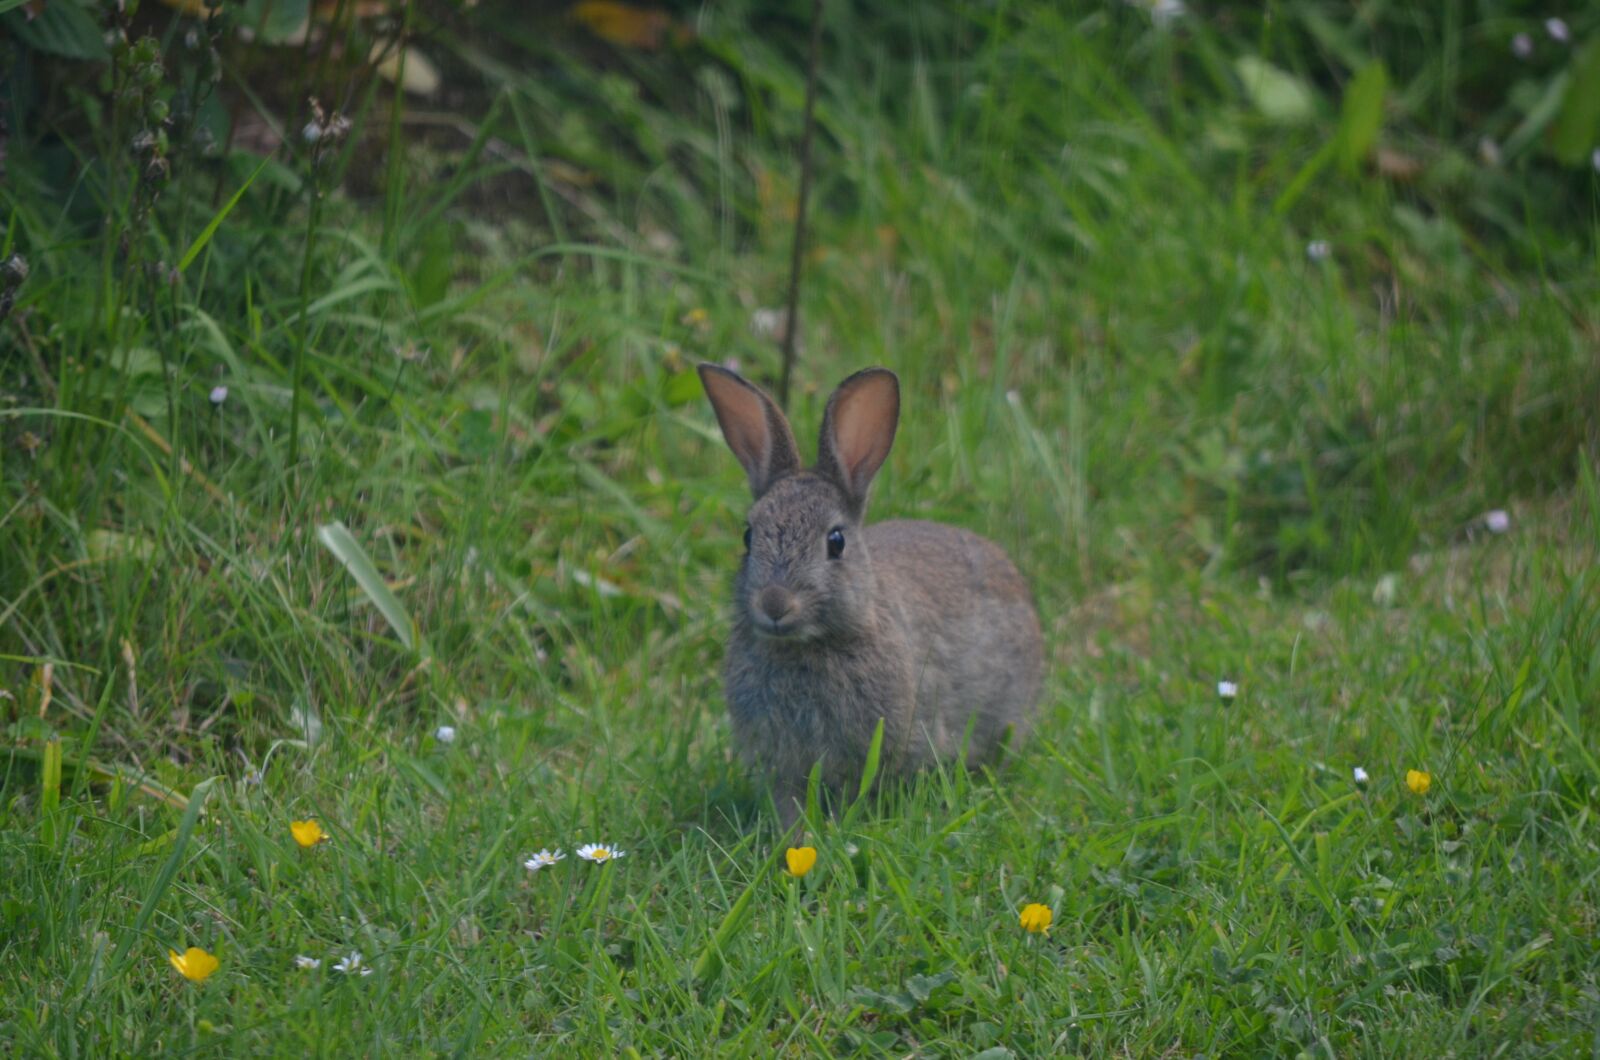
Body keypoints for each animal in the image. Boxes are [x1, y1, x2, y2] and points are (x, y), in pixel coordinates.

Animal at [697, 363, 1044, 831]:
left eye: (836, 541)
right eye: (749, 537)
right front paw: (794, 835)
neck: (810, 646)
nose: (774, 604)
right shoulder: (783, 763)